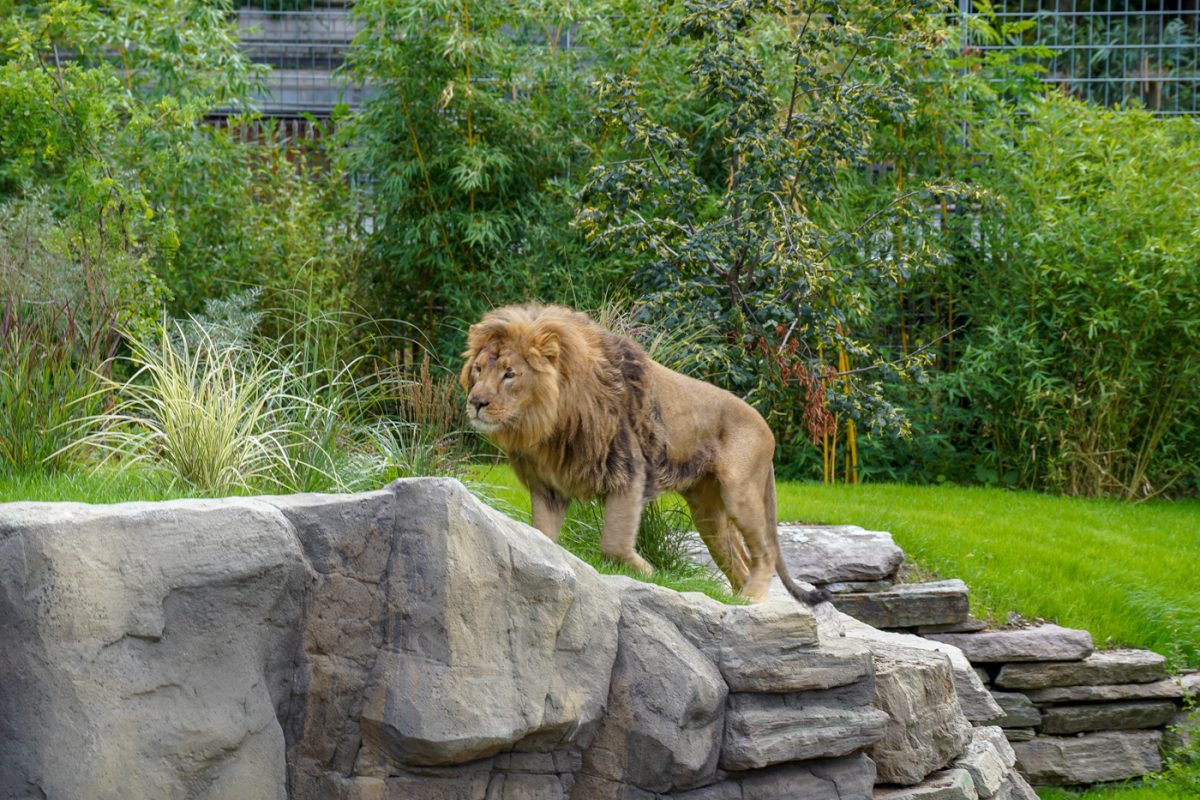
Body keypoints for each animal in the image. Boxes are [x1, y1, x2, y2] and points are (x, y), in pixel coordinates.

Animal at [460, 303, 829, 605]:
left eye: (510, 374)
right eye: (478, 370)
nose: (476, 402)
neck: (548, 425)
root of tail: (766, 426)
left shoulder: (628, 471)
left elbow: (614, 542)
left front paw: (646, 572)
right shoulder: (547, 488)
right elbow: (542, 536)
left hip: (740, 492)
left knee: (764, 552)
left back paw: (752, 598)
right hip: (708, 510)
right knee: (738, 560)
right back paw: (737, 602)